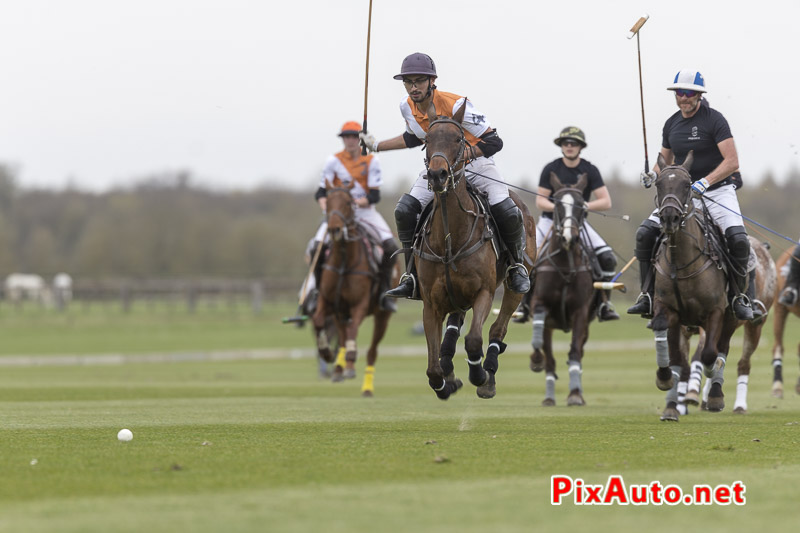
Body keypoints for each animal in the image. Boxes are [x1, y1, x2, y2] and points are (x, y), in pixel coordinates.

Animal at [312, 183, 400, 394]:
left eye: (347, 202)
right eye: (328, 202)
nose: (334, 229)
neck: (344, 260)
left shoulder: (360, 303)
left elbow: (353, 332)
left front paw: (351, 360)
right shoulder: (328, 302)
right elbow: (318, 321)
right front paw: (326, 352)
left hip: (382, 316)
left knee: (372, 351)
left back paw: (366, 387)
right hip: (340, 313)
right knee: (343, 337)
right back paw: (338, 369)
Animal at [418, 103, 536, 400]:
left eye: (458, 139)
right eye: (427, 140)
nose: (437, 175)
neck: (450, 239)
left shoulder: (484, 291)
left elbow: (473, 340)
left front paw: (479, 374)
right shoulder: (430, 303)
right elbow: (432, 368)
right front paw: (445, 384)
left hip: (515, 286)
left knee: (497, 328)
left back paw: (489, 374)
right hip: (455, 297)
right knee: (453, 328)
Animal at [528, 172, 596, 406]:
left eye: (582, 206)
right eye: (557, 204)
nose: (569, 238)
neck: (565, 265)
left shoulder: (581, 312)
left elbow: (574, 351)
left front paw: (575, 394)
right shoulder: (540, 304)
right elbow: (541, 346)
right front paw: (535, 360)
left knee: (579, 352)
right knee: (549, 357)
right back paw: (549, 396)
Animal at [648, 152, 736, 422]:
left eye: (687, 185)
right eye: (658, 184)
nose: (669, 218)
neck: (681, 263)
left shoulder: (716, 311)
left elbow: (709, 354)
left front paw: (710, 374)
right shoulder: (668, 309)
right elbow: (674, 356)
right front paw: (665, 382)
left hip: (732, 318)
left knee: (722, 348)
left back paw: (715, 394)